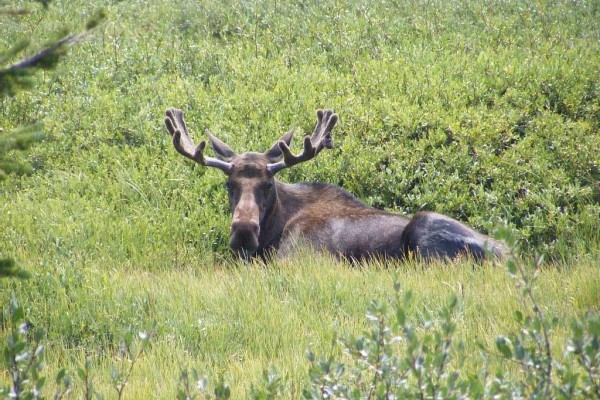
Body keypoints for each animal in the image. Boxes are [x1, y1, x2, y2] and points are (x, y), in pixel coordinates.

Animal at [164, 108, 506, 260]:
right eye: (229, 184)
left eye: (268, 185)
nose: (244, 231)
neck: (275, 228)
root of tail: (511, 257)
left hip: (424, 230)